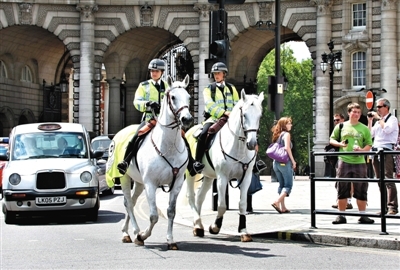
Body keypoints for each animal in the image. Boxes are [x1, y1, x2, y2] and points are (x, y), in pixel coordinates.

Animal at [106, 75, 192, 250]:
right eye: (173, 97)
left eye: (189, 97)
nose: (187, 119)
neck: (167, 146)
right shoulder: (151, 183)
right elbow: (153, 216)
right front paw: (142, 235)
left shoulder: (177, 182)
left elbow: (171, 212)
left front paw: (170, 240)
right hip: (125, 177)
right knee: (128, 203)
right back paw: (133, 232)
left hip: (139, 182)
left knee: (132, 201)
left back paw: (127, 231)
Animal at [186, 89, 264, 242]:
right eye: (244, 115)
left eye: (259, 115)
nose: (252, 144)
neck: (238, 146)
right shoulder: (222, 178)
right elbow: (221, 205)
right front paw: (215, 227)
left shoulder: (246, 178)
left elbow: (242, 204)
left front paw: (243, 231)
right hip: (190, 174)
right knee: (192, 197)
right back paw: (197, 224)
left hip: (209, 176)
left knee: (199, 197)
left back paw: (198, 226)